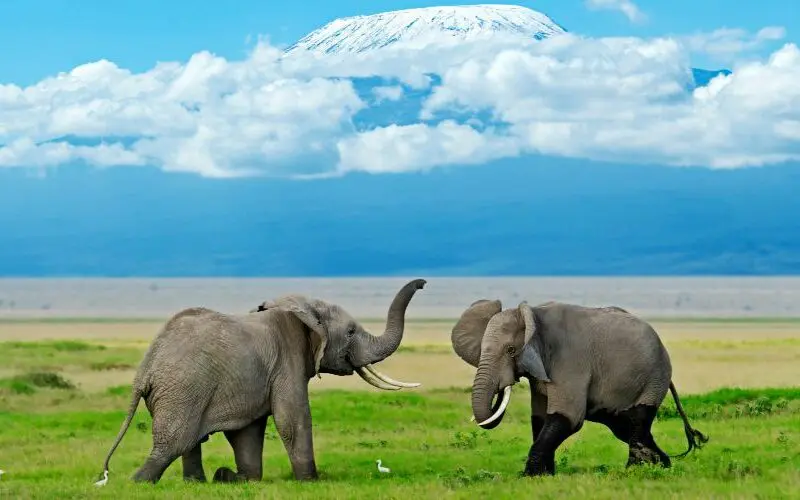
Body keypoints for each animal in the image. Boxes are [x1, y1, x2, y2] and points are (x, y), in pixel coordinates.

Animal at [95, 278, 427, 485]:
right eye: (350, 332)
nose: (423, 283)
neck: (302, 310)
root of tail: (146, 368)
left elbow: (249, 430)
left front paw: (242, 479)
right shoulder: (287, 361)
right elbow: (293, 418)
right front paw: (311, 482)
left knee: (188, 443)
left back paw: (200, 482)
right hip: (183, 390)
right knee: (173, 443)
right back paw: (139, 483)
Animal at [450, 299, 708, 476]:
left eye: (511, 350)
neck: (533, 314)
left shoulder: (570, 361)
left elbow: (568, 417)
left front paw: (528, 476)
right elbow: (539, 418)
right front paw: (545, 476)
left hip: (654, 377)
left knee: (637, 421)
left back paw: (634, 471)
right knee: (625, 427)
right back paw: (663, 465)